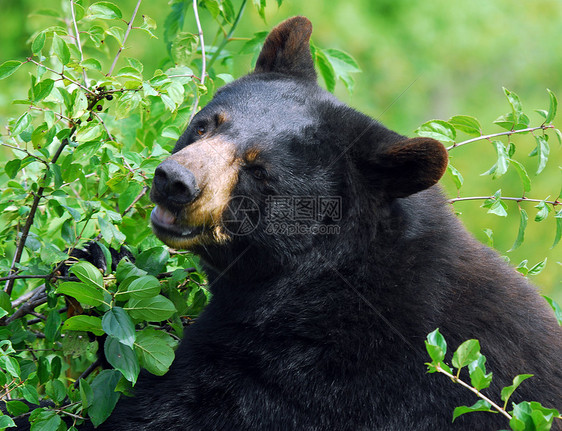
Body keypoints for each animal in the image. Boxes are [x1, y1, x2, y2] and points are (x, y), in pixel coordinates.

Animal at [85, 16, 556, 428]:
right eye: (204, 127)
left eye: (259, 171)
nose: (174, 181)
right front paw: (103, 256)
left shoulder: (304, 379)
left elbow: (164, 409)